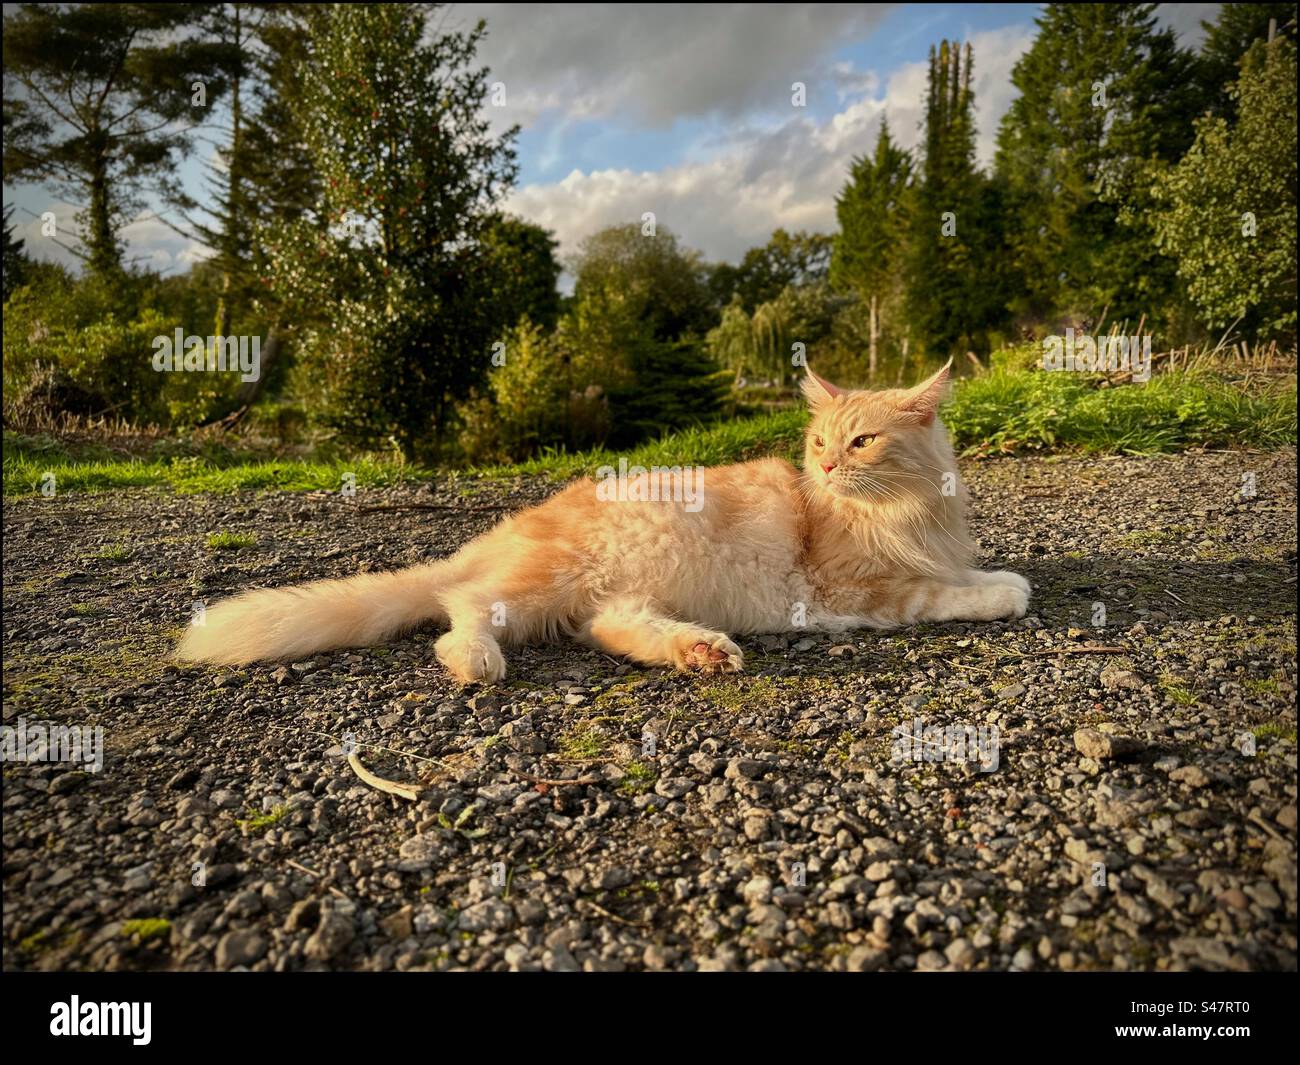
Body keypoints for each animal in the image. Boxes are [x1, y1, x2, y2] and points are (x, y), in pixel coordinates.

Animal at [178, 364, 1029, 681]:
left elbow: (954, 571)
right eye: (820, 443)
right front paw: (1004, 588)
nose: (823, 469)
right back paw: (476, 659)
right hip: (547, 579)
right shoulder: (852, 586)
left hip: (620, 589)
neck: (908, 512)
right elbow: (942, 594)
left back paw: (702, 651)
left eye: (863, 442)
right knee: (459, 613)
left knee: (610, 626)